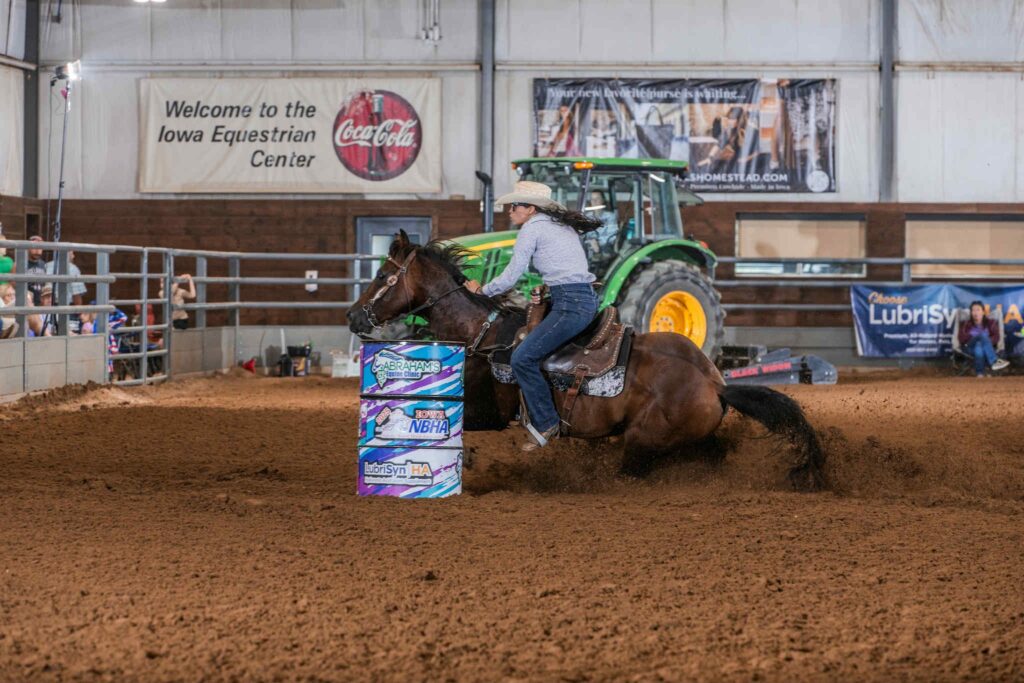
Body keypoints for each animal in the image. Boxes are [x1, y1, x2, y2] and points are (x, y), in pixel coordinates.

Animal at [346, 232, 826, 490]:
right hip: (692, 441)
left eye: (382, 276)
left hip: (643, 443)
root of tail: (716, 383)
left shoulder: (489, 411)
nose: (353, 316)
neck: (482, 334)